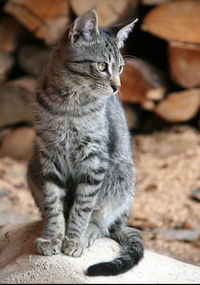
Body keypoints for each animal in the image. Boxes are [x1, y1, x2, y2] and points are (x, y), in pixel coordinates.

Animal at [27, 9, 143, 276]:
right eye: (102, 66)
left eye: (120, 68)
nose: (117, 87)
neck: (69, 105)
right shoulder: (48, 156)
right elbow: (53, 202)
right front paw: (53, 236)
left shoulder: (94, 160)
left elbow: (83, 206)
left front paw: (74, 239)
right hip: (32, 165)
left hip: (120, 176)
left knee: (104, 224)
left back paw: (89, 232)